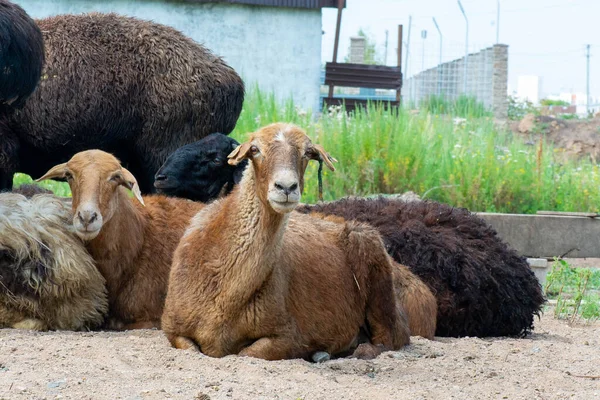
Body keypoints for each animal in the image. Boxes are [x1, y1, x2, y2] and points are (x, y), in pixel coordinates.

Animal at [161, 123, 422, 360]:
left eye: (307, 153)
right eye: (254, 149)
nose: (286, 187)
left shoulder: (288, 336)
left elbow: (249, 353)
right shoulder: (172, 328)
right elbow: (187, 346)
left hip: (378, 279)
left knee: (393, 336)